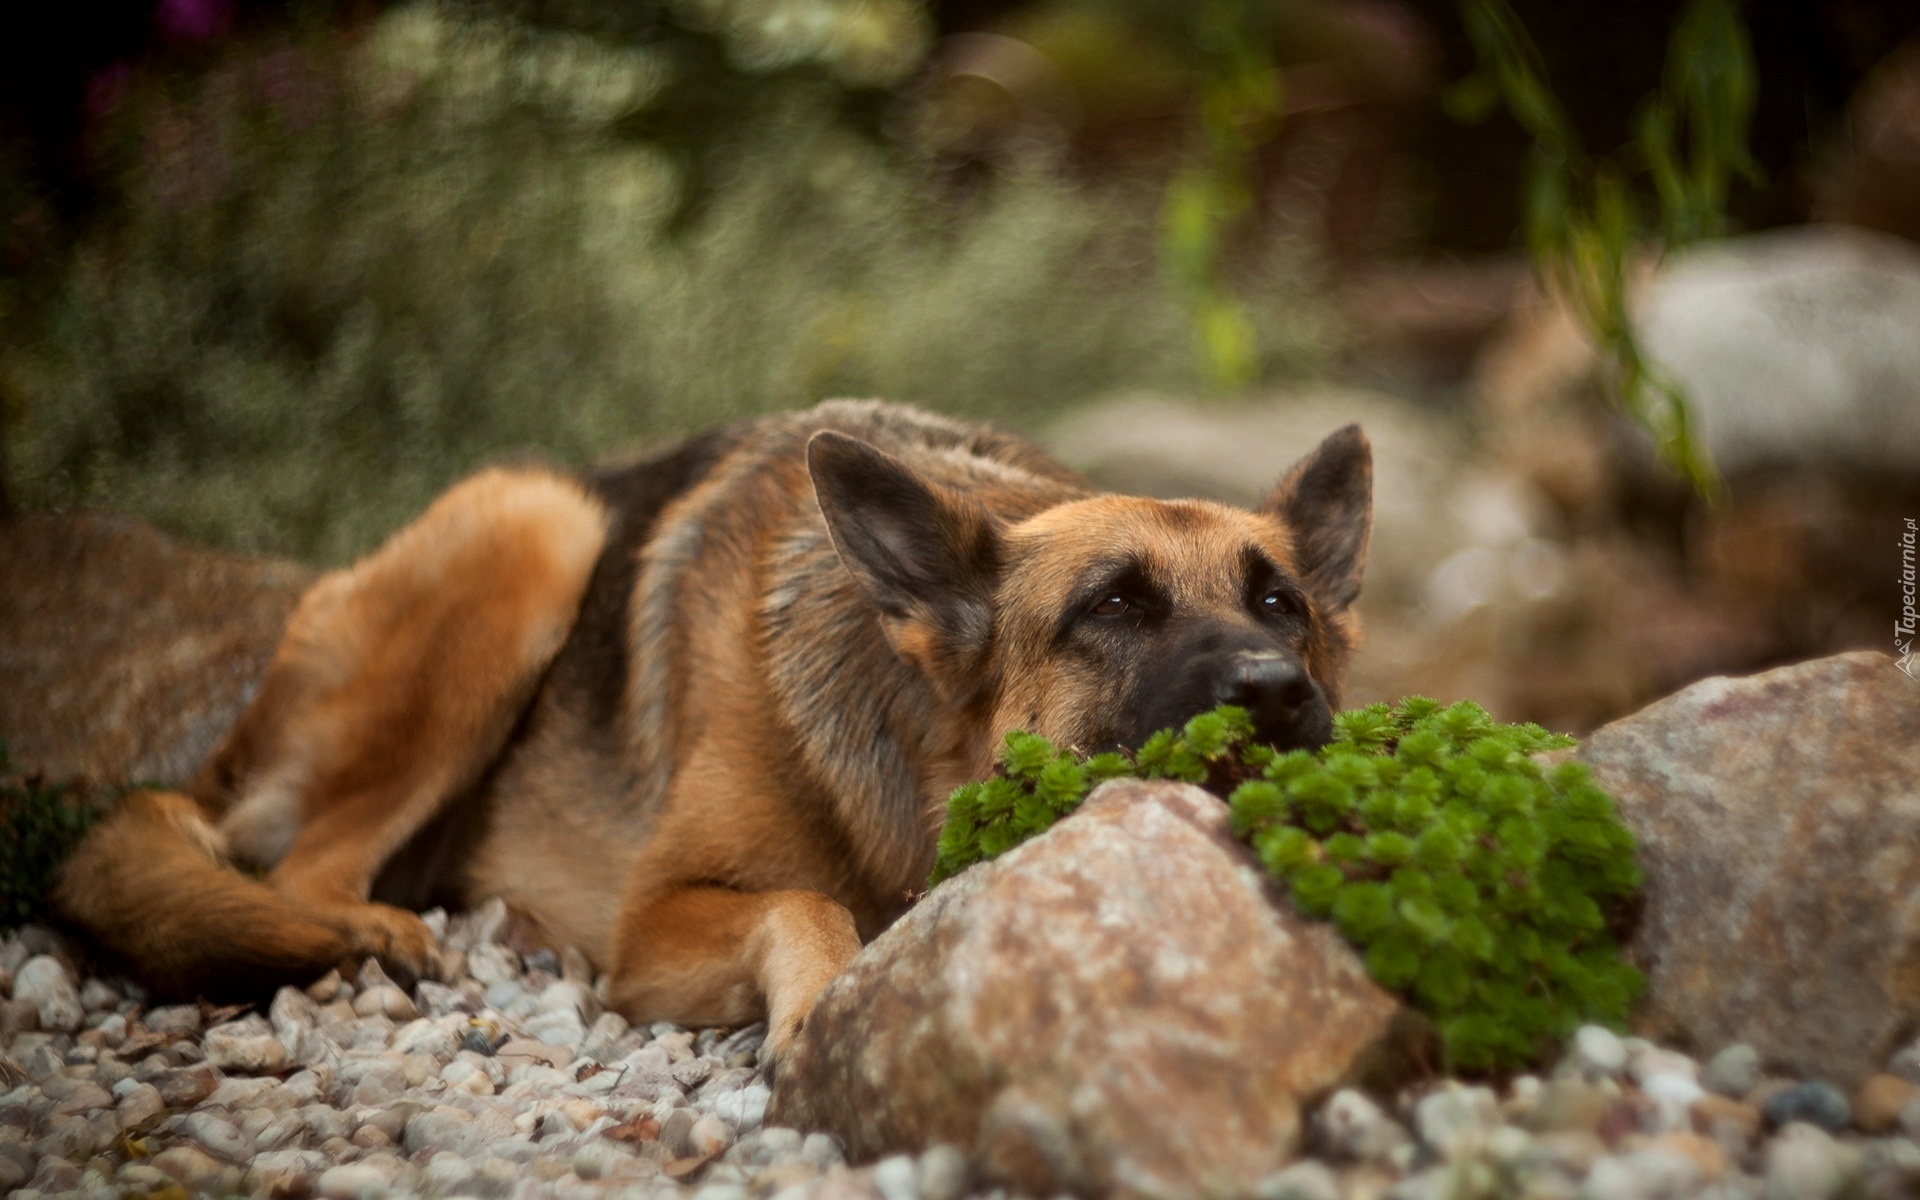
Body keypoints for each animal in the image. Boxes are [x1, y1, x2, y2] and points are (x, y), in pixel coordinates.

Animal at [54, 399, 1372, 1057]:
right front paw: (819, 1009)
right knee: (306, 869)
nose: (1273, 688)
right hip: (536, 522)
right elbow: (807, 900)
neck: (912, 756)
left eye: (1280, 606)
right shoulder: (656, 923)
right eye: (1114, 607)